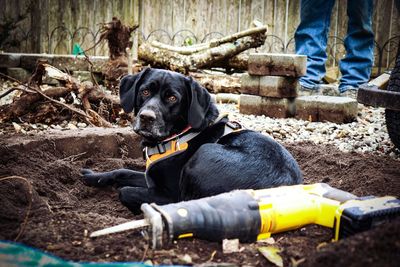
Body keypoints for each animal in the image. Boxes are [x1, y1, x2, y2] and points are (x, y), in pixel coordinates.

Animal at [81, 68, 302, 215]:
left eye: (172, 98)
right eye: (144, 91)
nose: (146, 117)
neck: (178, 135)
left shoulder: (168, 193)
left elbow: (125, 191)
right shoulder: (151, 178)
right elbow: (121, 171)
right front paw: (92, 176)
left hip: (205, 153)